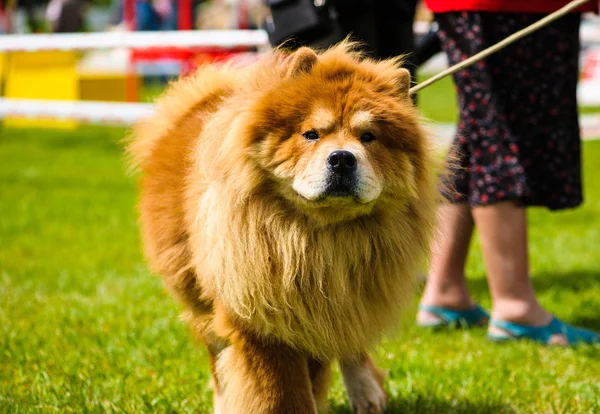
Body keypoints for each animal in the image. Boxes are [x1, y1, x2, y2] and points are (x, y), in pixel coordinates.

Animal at [127, 42, 436, 414]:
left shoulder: (334, 307)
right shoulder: (258, 317)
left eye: (369, 137)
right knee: (217, 356)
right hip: (196, 292)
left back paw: (366, 393)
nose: (342, 158)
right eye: (311, 134)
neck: (315, 239)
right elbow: (283, 392)